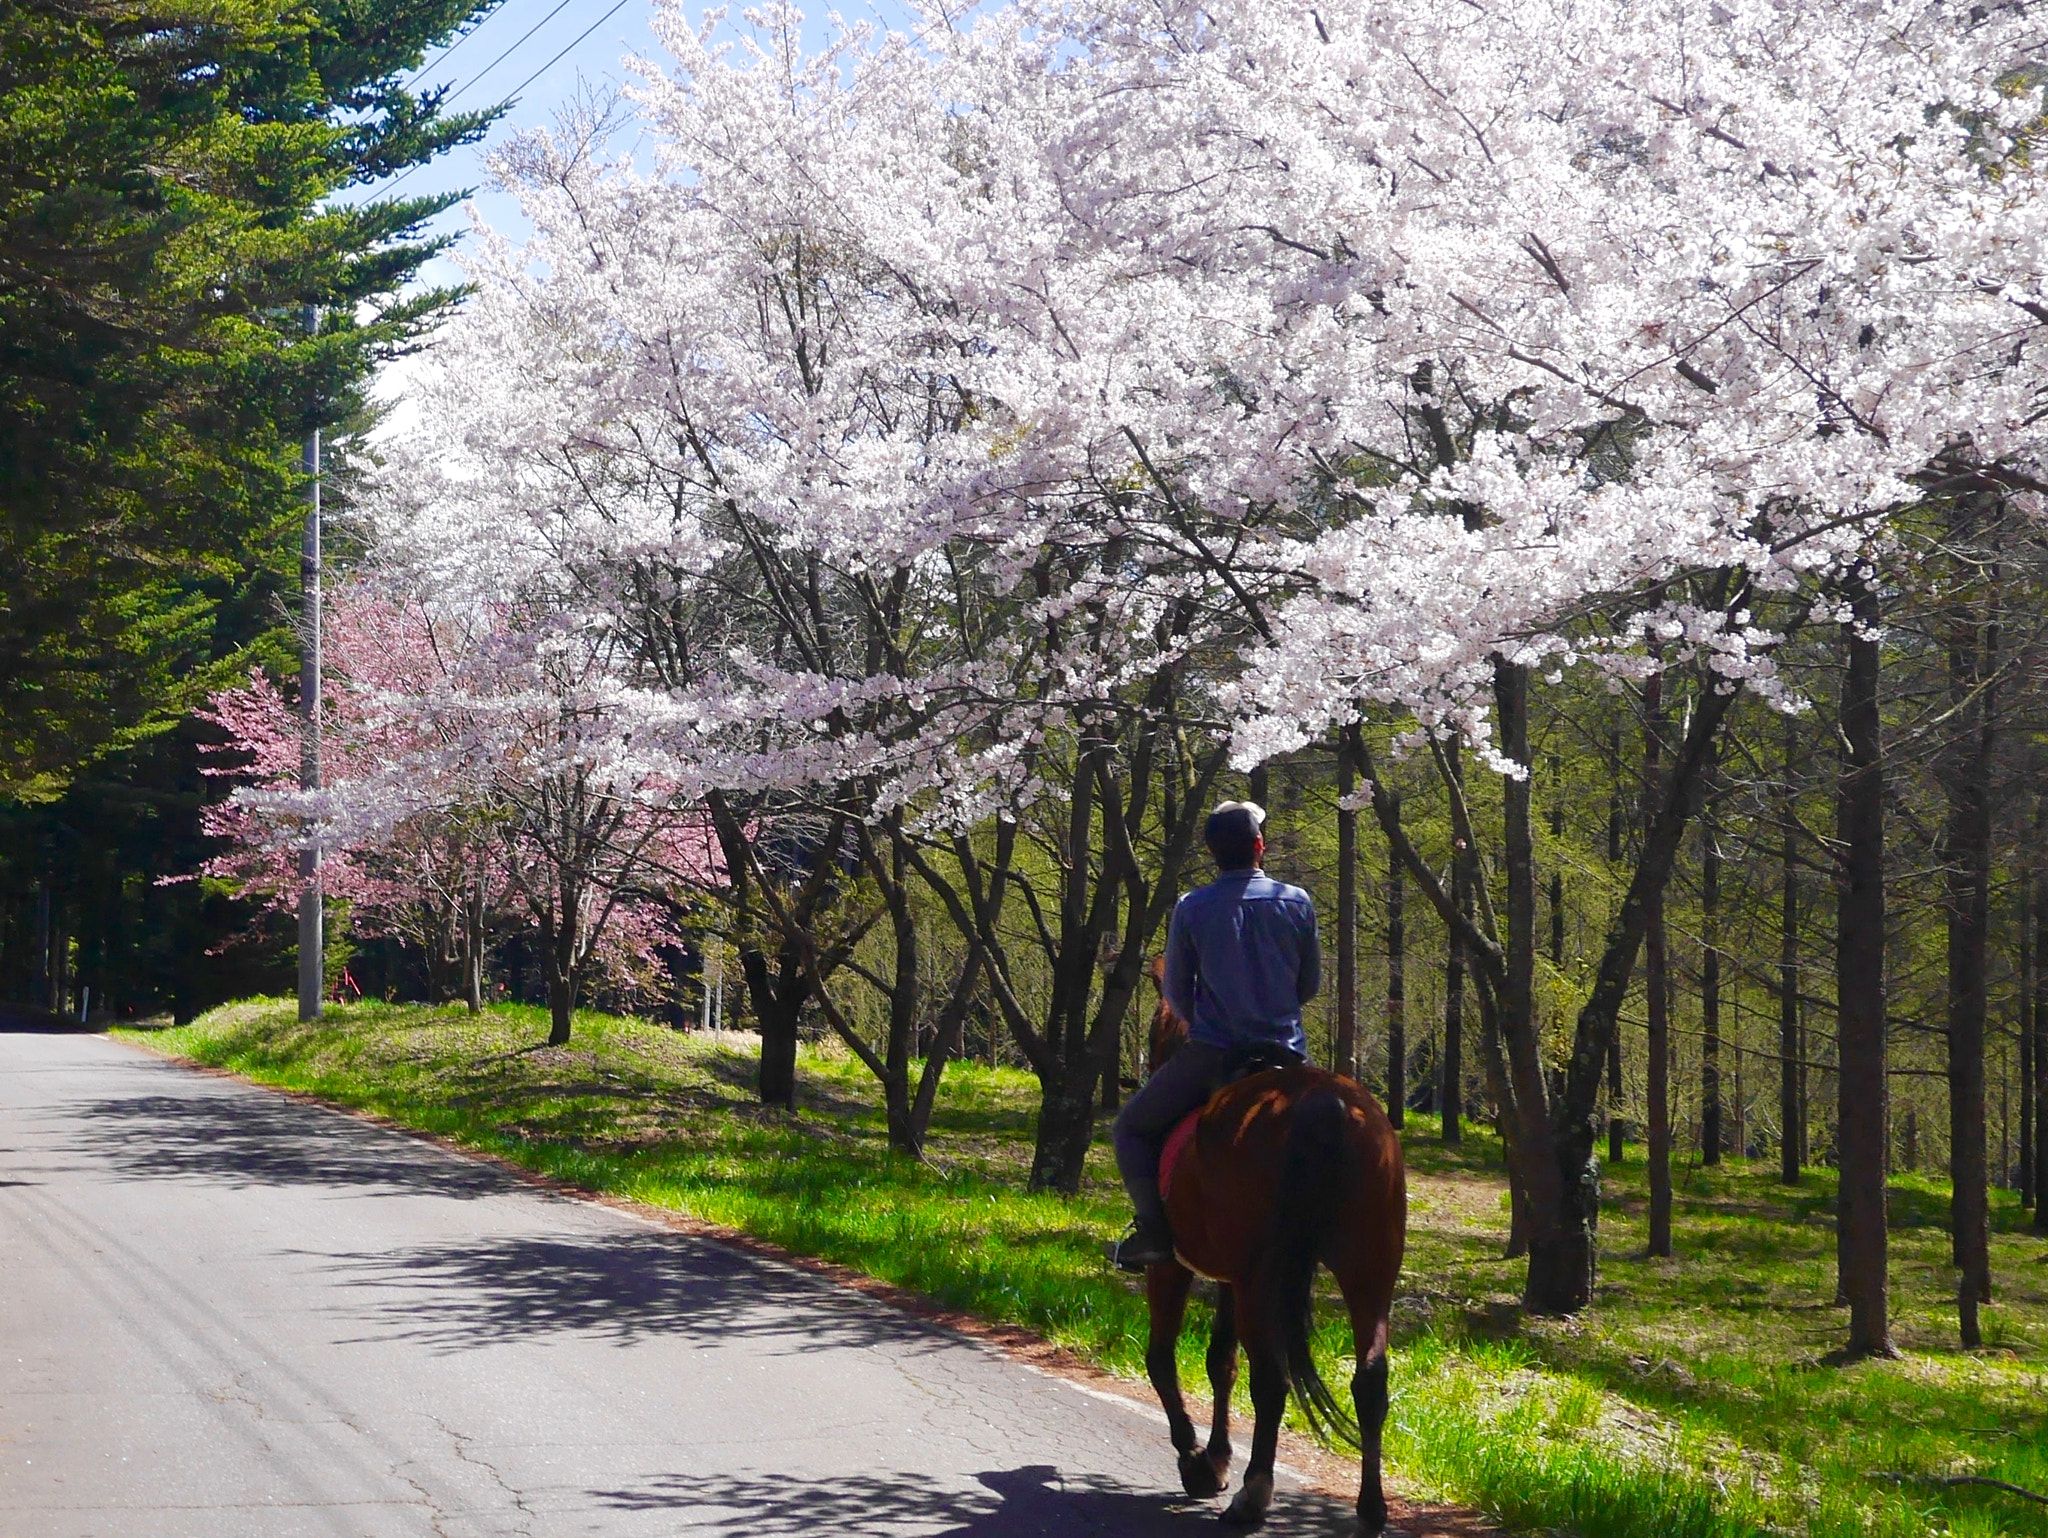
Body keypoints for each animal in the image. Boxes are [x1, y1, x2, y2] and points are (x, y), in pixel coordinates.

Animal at [1138, 962, 1409, 1531]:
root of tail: (1322, 1103)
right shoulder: (1230, 1279)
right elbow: (1221, 1360)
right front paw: (1216, 1456)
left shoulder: (1173, 1267)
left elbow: (1163, 1358)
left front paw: (1196, 1461)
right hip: (1368, 1270)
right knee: (1370, 1381)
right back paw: (1371, 1508)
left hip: (1260, 1278)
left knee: (1272, 1379)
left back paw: (1253, 1496)